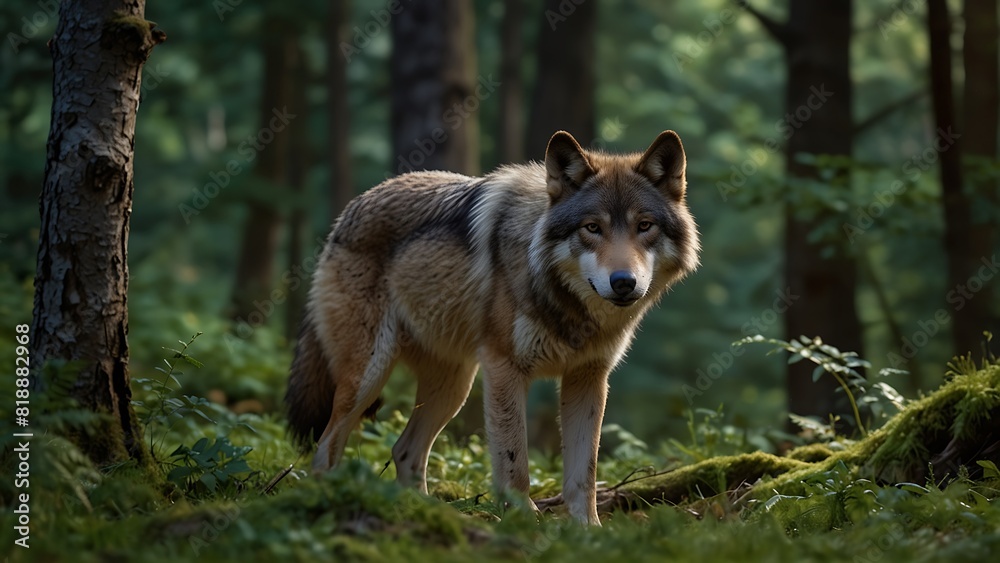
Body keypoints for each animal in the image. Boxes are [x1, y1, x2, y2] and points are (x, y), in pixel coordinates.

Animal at [286, 130, 699, 524]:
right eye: (592, 228)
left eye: (644, 226)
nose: (624, 282)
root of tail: (350, 210)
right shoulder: (504, 369)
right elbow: (515, 464)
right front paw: (523, 522)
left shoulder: (588, 379)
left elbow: (584, 473)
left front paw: (588, 531)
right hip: (370, 377)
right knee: (326, 448)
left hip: (453, 389)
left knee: (404, 451)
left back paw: (432, 515)